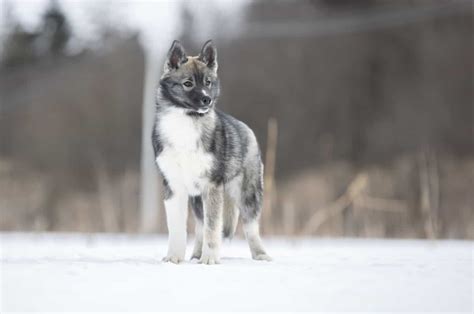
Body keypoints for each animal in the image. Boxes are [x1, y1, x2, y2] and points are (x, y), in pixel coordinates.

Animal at [152, 40, 270, 264]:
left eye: (208, 82)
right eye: (188, 83)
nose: (206, 100)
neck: (185, 122)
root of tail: (246, 128)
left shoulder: (212, 186)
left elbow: (213, 227)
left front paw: (210, 259)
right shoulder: (174, 187)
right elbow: (177, 228)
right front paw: (174, 257)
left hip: (247, 194)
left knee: (251, 227)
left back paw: (260, 254)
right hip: (198, 199)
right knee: (200, 225)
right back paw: (196, 254)